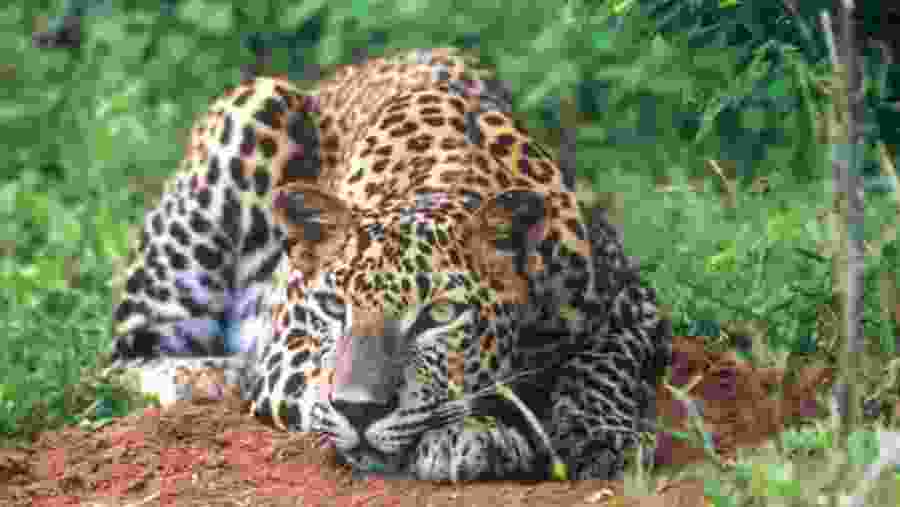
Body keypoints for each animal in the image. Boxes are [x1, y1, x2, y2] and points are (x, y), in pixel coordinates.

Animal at [108, 47, 672, 482]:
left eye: (440, 316)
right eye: (334, 307)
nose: (359, 411)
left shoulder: (634, 302)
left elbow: (601, 365)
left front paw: (600, 436)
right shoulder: (286, 354)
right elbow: (313, 385)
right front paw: (481, 434)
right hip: (254, 106)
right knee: (127, 356)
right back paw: (203, 380)